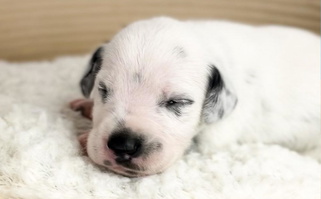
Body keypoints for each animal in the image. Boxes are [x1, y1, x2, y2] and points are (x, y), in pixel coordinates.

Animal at [69, 16, 318, 176]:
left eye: (177, 102)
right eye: (103, 90)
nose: (124, 145)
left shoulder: (215, 138)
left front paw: (84, 137)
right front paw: (86, 106)